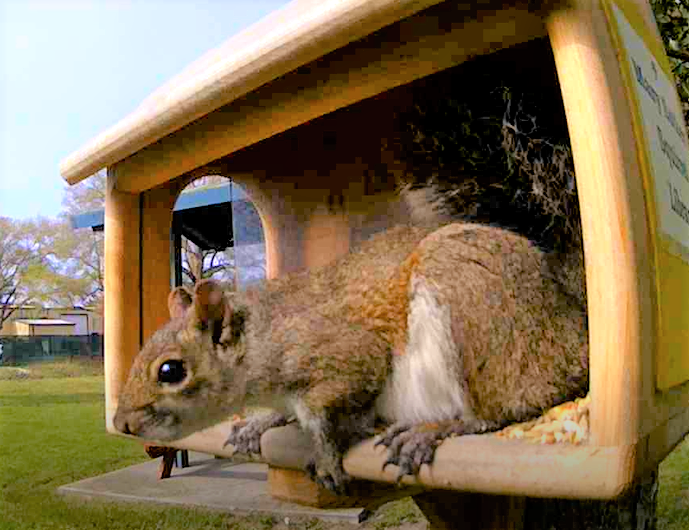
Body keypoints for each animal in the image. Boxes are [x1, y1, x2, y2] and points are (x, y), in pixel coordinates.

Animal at [113, 204, 589, 493]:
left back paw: (435, 429)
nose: (121, 423)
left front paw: (325, 455)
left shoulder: (345, 356)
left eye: (171, 371)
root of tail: (571, 335)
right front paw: (259, 423)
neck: (266, 333)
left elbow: (326, 412)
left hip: (472, 305)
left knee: (503, 408)